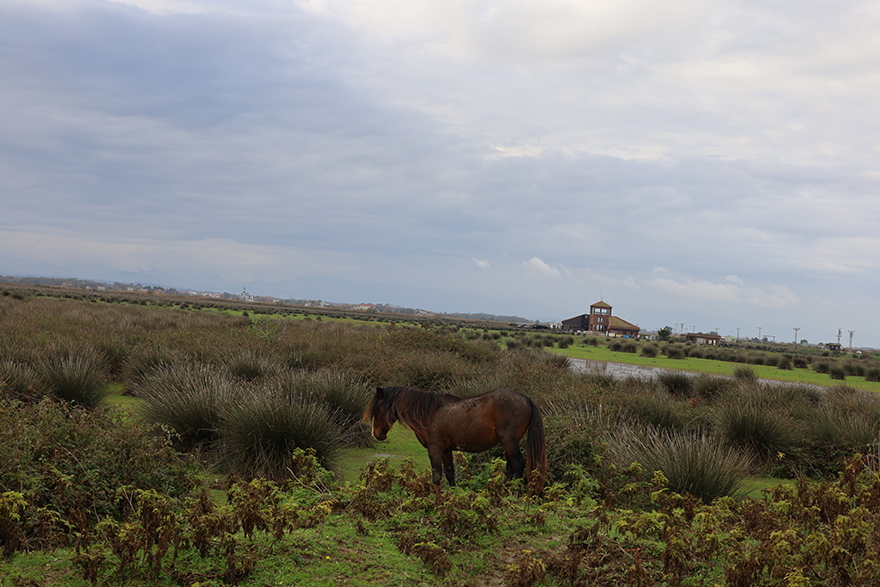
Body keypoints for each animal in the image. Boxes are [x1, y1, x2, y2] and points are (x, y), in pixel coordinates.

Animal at [362, 388, 544, 494]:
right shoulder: (446, 450)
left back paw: (514, 493)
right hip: (508, 444)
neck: (429, 413)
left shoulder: (434, 449)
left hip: (510, 442)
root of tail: (526, 399)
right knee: (510, 468)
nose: (376, 434)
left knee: (519, 464)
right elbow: (450, 474)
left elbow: (436, 477)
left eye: (377, 408)